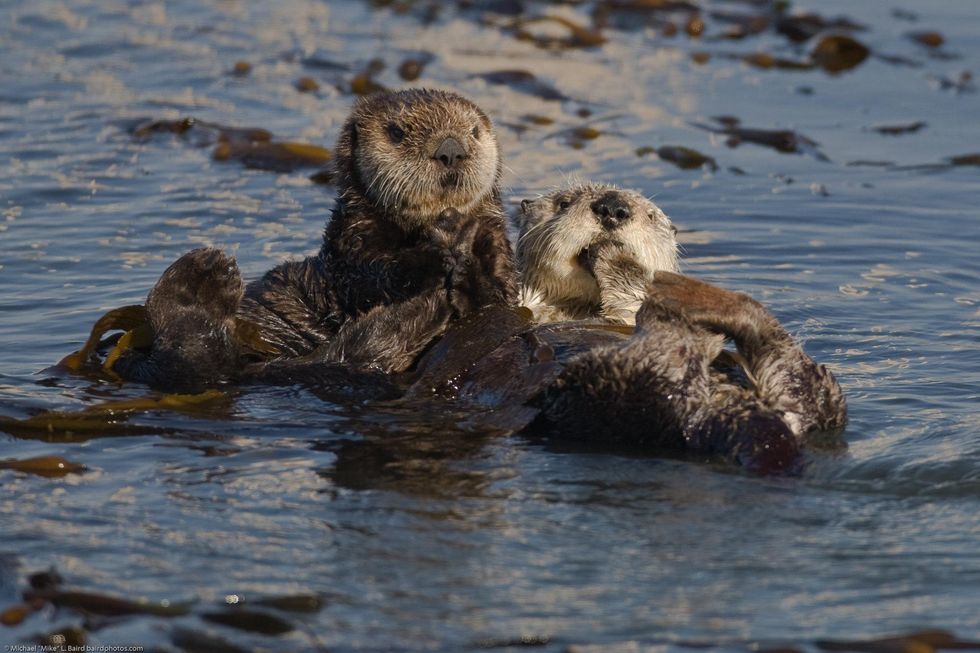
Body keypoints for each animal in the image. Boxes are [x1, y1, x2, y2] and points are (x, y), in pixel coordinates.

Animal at [108, 89, 518, 391]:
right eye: (397, 133)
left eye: (474, 132)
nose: (451, 150)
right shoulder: (351, 249)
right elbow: (374, 276)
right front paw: (434, 257)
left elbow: (498, 294)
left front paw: (469, 244)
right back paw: (205, 274)